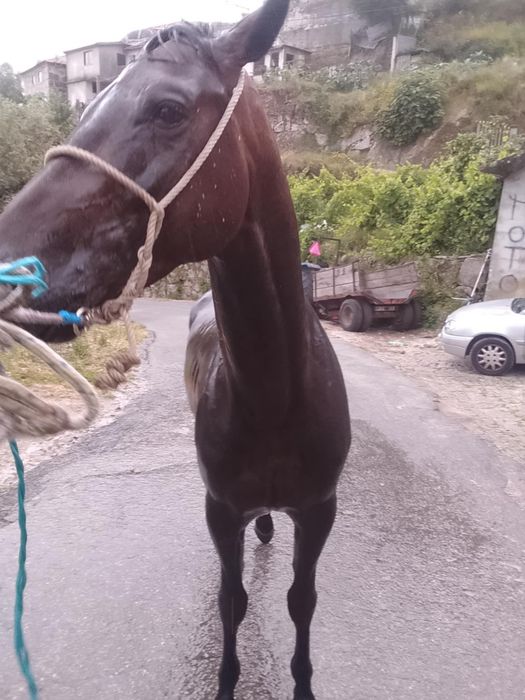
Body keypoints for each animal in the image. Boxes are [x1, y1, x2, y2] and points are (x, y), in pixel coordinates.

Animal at [0, 1, 351, 697]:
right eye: (87, 107)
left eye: (168, 109)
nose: (4, 262)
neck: (277, 397)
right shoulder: (221, 508)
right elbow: (231, 599)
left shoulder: (319, 510)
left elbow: (301, 600)